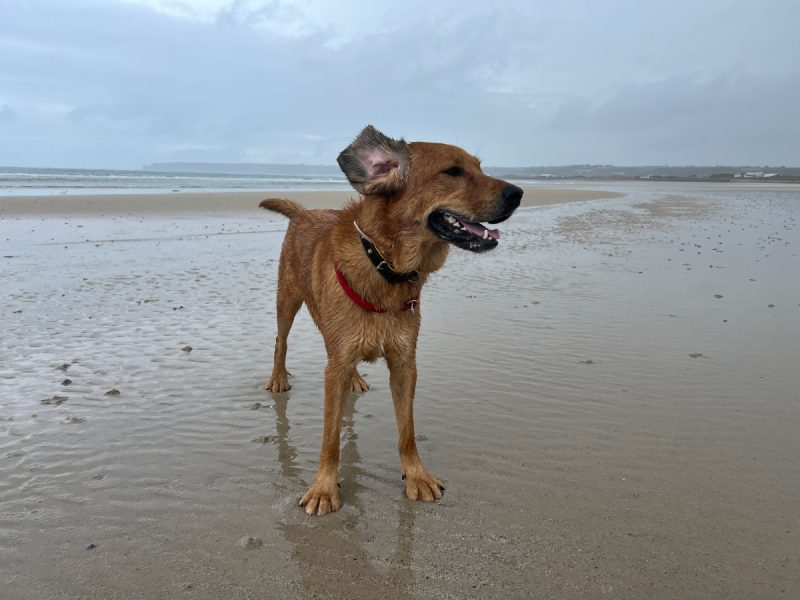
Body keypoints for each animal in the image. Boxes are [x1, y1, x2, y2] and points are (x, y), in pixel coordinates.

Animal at [262, 126, 520, 516]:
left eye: (479, 167)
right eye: (453, 171)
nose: (518, 193)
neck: (384, 265)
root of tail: (304, 213)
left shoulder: (403, 363)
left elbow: (407, 430)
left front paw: (415, 475)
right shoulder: (335, 367)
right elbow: (330, 439)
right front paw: (324, 487)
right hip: (287, 301)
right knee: (281, 340)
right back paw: (278, 377)